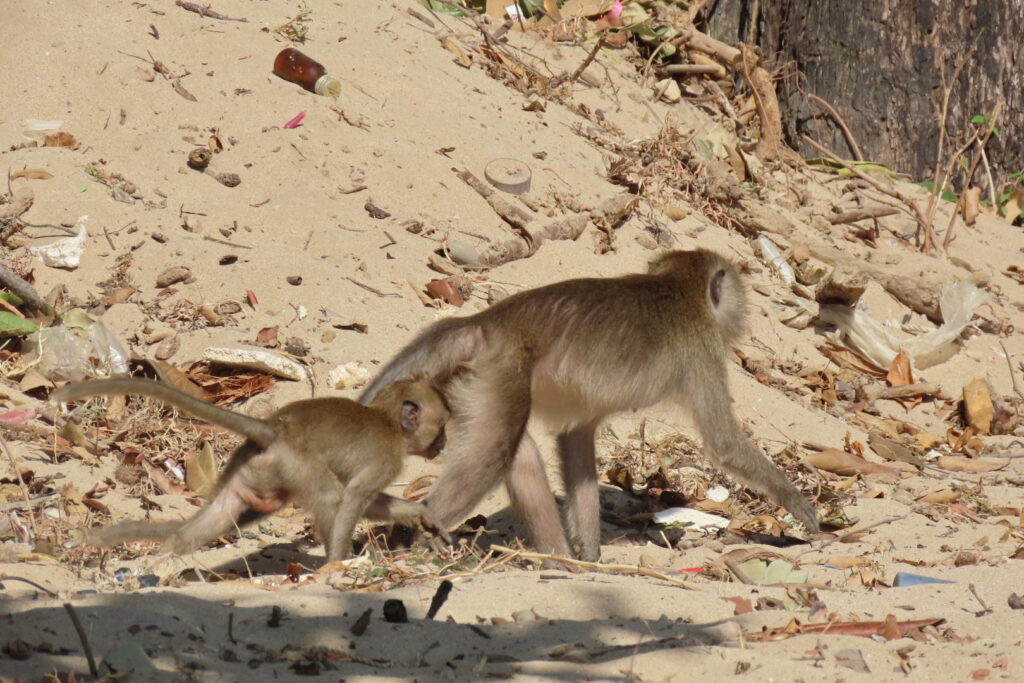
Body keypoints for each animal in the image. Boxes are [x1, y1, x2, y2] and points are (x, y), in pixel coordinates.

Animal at [53, 377, 451, 563]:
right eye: (442, 426)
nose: (444, 443)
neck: (389, 422)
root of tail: (274, 428)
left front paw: (417, 513)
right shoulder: (388, 457)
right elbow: (354, 497)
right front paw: (339, 564)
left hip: (250, 465)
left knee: (220, 512)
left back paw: (170, 554)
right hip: (295, 462)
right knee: (329, 495)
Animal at [358, 248, 819, 562]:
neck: (679, 289)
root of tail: (488, 322)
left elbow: (574, 438)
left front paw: (592, 556)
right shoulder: (703, 349)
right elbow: (723, 444)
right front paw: (798, 505)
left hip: (467, 382)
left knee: (516, 455)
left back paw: (560, 563)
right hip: (499, 371)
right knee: (490, 458)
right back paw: (416, 542)